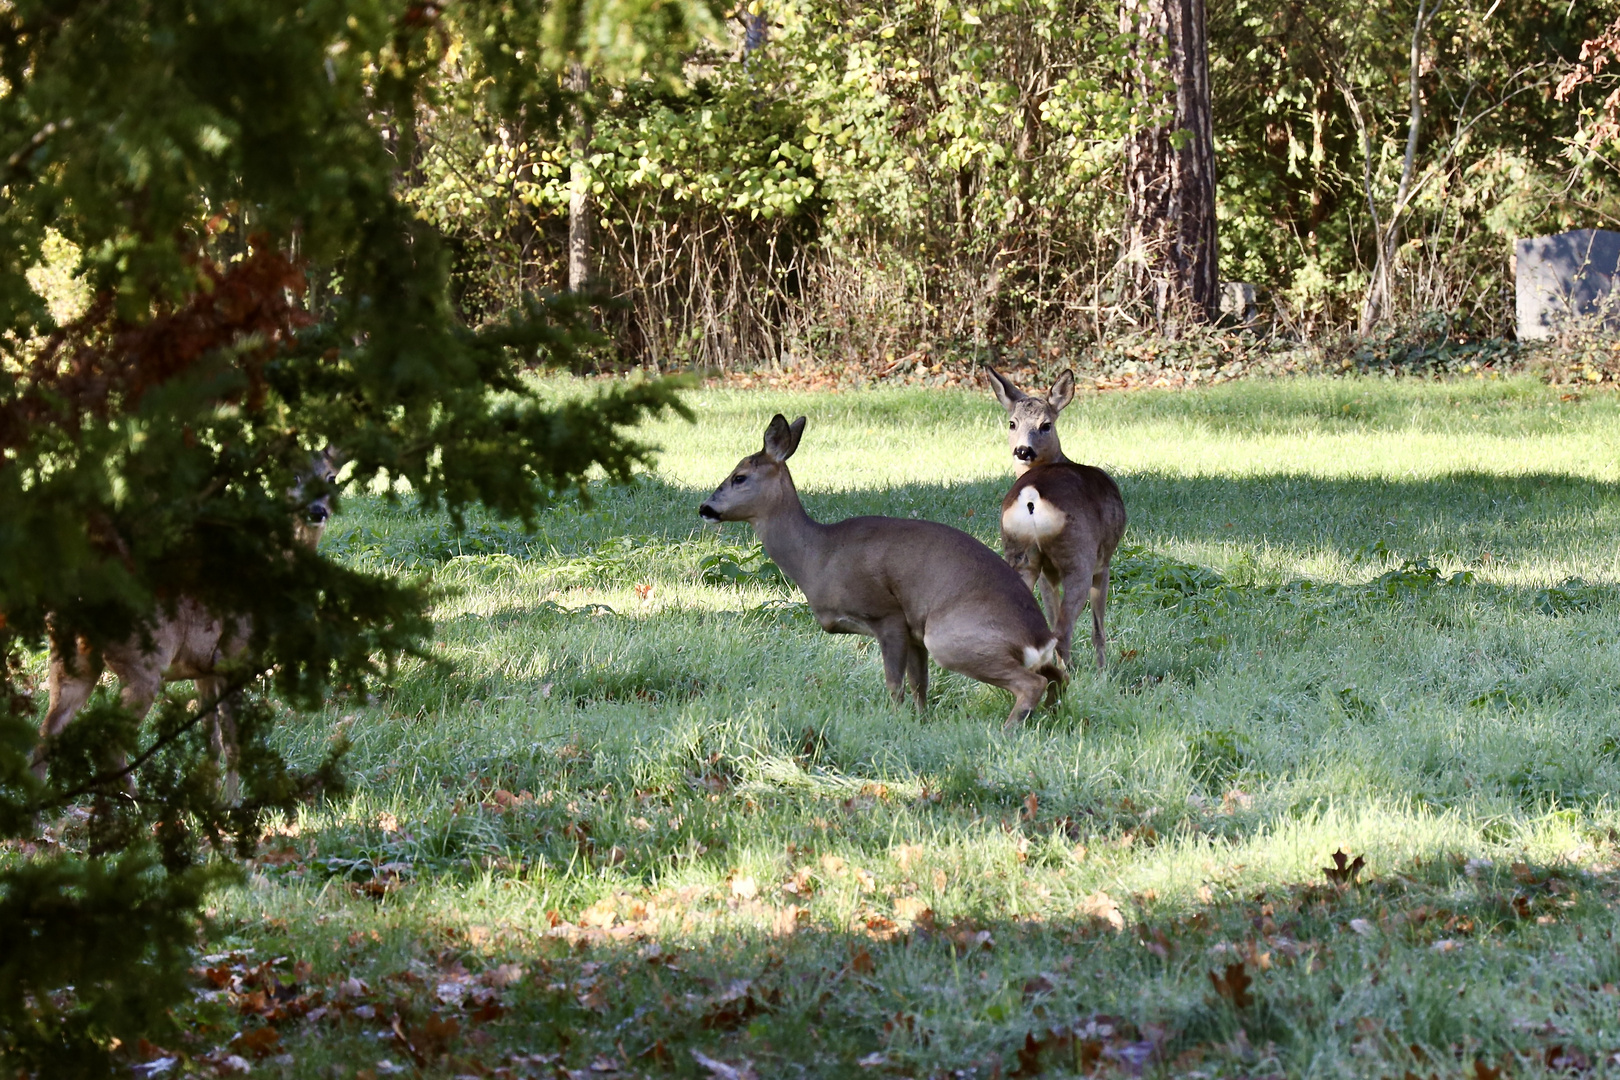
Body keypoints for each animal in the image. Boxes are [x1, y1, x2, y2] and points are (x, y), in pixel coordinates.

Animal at [34, 446, 341, 793]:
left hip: (71, 657)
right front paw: (230, 801)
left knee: (45, 735)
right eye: (294, 475)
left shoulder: (203, 668)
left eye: (331, 477)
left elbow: (212, 741)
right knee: (107, 745)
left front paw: (209, 797)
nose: (317, 510)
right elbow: (234, 741)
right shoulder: (233, 654)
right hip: (143, 663)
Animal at [703, 417, 1069, 731]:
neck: (818, 556)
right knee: (1059, 675)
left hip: (950, 637)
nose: (705, 508)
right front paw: (921, 723)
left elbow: (895, 683)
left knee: (1033, 682)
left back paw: (1007, 730)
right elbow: (919, 684)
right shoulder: (914, 631)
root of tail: (1038, 638)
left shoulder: (886, 613)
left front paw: (896, 722)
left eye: (739, 477)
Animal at [984, 367, 1127, 670]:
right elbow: (1098, 627)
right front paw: (1102, 670)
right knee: (1063, 631)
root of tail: (1031, 496)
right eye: (1012, 423)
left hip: (1019, 552)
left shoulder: (1046, 573)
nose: (1023, 450)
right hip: (1078, 556)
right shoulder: (1104, 561)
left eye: (1045, 425)